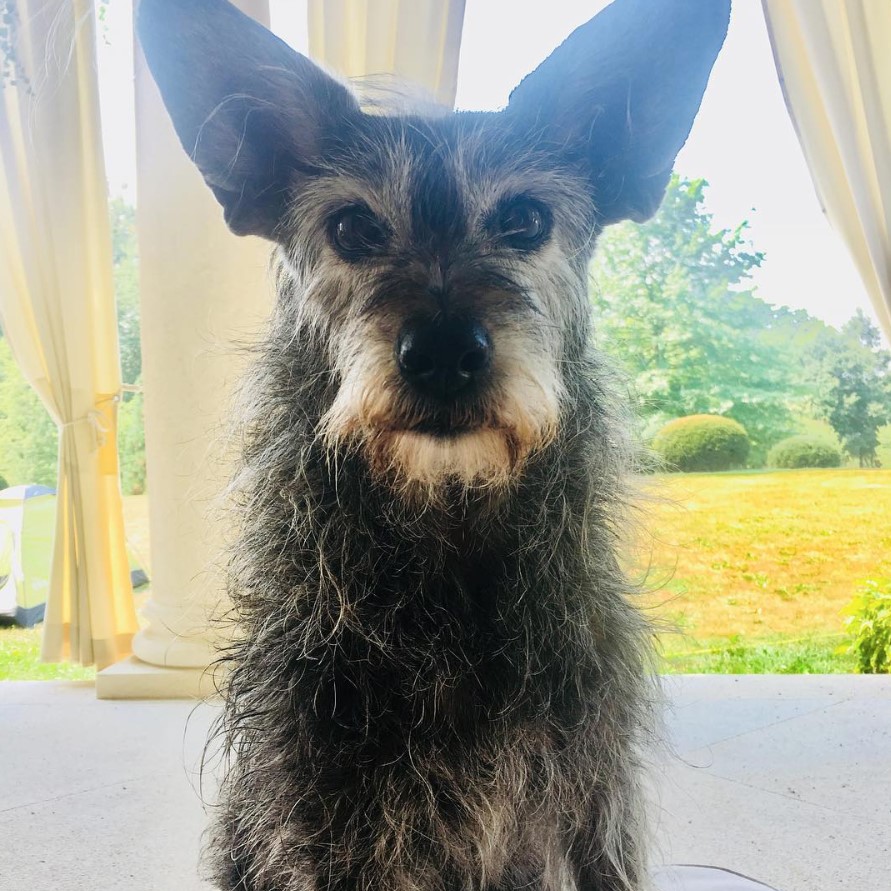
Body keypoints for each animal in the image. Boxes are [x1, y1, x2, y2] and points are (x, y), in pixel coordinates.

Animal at [136, 3, 728, 888]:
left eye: (524, 219)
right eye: (352, 226)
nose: (444, 350)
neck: (446, 560)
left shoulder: (590, 802)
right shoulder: (318, 812)